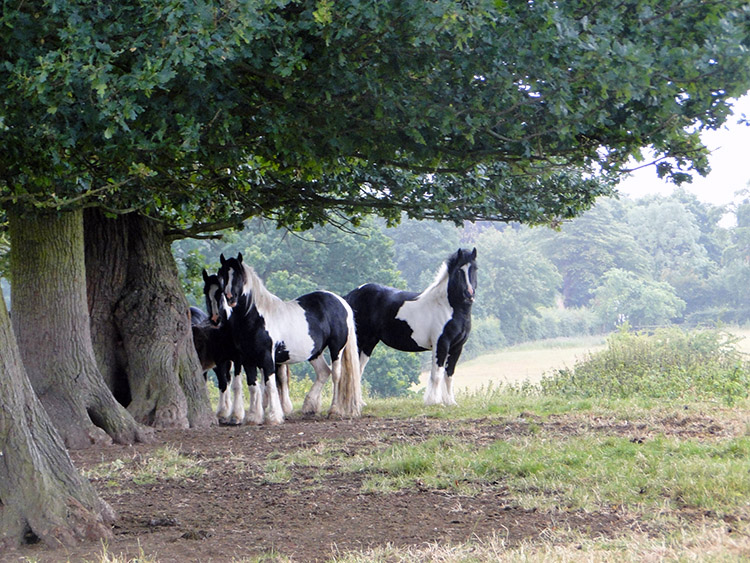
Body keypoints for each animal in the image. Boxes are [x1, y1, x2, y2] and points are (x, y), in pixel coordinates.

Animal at [346, 249, 478, 408]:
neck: (448, 307)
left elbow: (449, 374)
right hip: (360, 340)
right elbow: (437, 375)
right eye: (459, 270)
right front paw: (434, 402)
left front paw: (451, 402)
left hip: (369, 343)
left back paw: (359, 402)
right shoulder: (441, 344)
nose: (469, 294)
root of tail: (351, 295)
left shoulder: (457, 347)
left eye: (475, 268)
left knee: (359, 369)